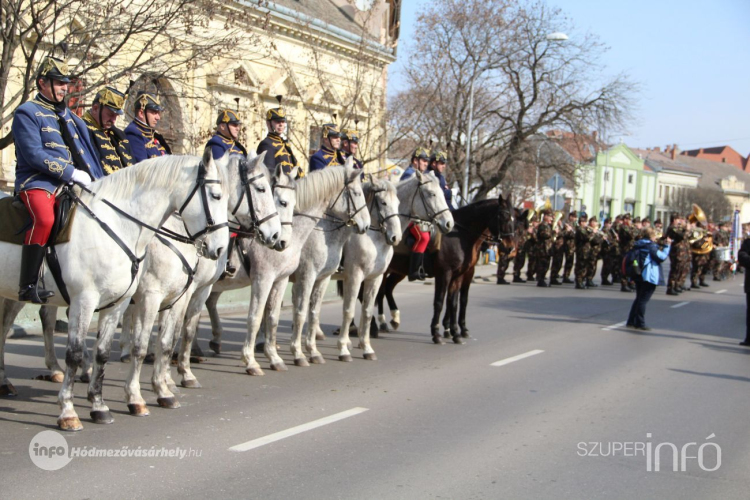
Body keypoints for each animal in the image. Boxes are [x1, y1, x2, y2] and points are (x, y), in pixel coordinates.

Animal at [0, 150, 229, 432]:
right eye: (216, 196)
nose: (220, 249)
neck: (118, 226)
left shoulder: (119, 303)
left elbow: (107, 351)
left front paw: (101, 406)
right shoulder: (90, 300)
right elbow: (78, 353)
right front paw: (68, 411)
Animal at [290, 178, 406, 366]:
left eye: (398, 203)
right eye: (383, 202)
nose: (396, 237)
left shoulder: (375, 278)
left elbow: (367, 311)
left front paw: (366, 347)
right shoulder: (354, 276)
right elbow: (349, 310)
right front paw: (344, 348)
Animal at [378, 192, 516, 344]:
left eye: (513, 218)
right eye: (503, 216)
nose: (510, 247)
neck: (459, 235)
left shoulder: (461, 274)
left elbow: (455, 302)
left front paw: (455, 332)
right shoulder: (445, 273)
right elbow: (440, 301)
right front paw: (438, 333)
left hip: (398, 272)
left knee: (387, 289)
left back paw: (393, 319)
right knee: (379, 293)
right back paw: (379, 324)